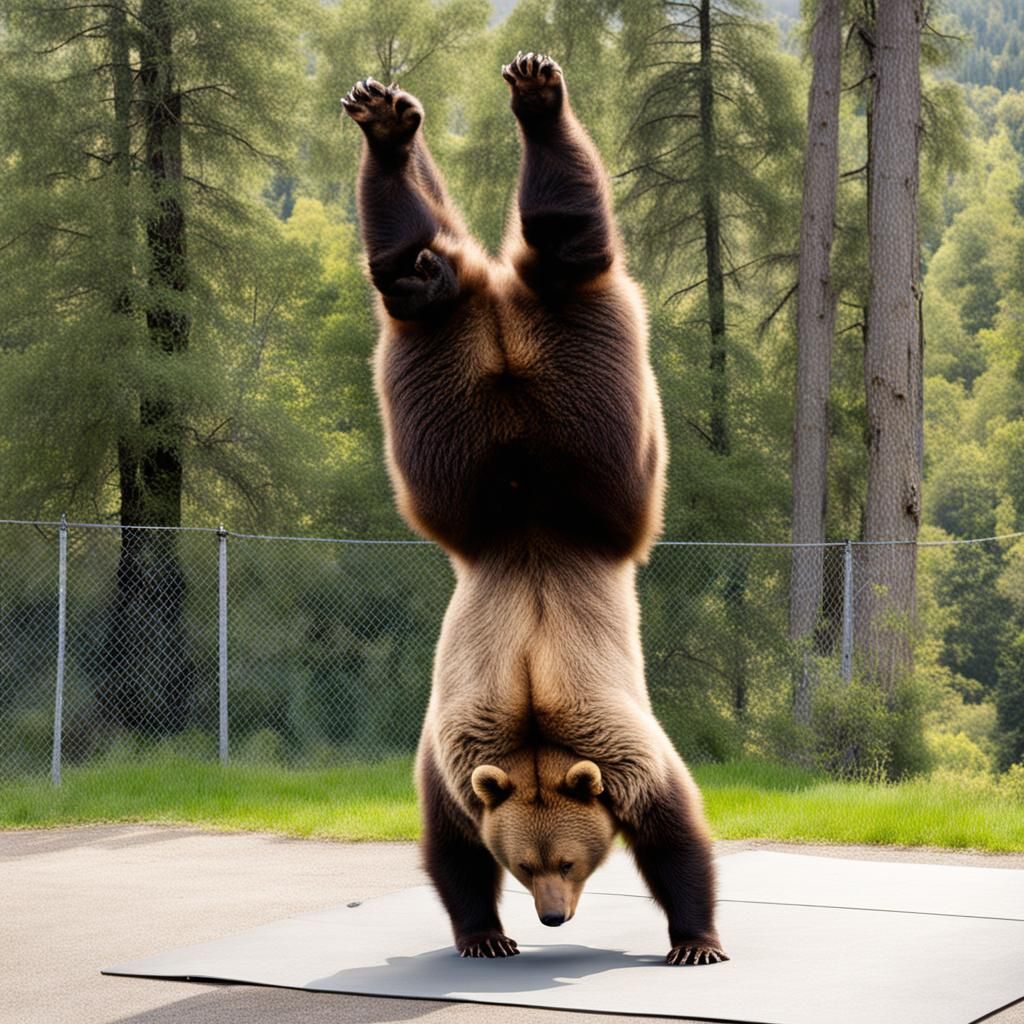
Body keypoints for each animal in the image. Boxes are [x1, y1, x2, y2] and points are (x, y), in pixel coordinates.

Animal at [342, 52, 726, 967]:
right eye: (523, 866)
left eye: (570, 862)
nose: (552, 916)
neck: (535, 732)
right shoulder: (456, 767)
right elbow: (449, 848)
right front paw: (484, 934)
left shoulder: (627, 754)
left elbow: (675, 834)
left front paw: (695, 938)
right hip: (456, 441)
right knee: (436, 279)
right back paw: (403, 169)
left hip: (597, 434)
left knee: (568, 254)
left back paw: (525, 112)